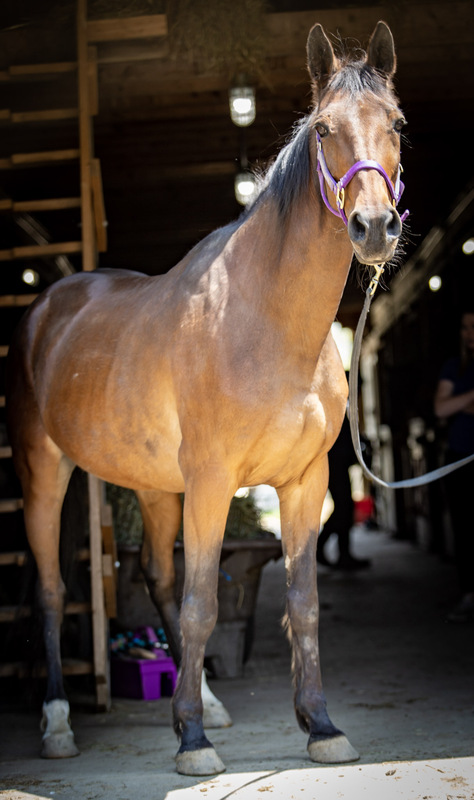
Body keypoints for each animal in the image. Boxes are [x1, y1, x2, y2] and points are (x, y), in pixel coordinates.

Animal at [5, 21, 408, 776]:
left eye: (396, 122)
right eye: (324, 129)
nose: (374, 227)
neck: (269, 322)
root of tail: (47, 306)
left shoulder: (305, 482)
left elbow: (303, 603)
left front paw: (320, 726)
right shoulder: (215, 482)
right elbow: (201, 606)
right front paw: (192, 742)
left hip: (154, 485)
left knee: (156, 578)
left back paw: (205, 703)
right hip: (45, 471)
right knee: (51, 591)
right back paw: (59, 724)